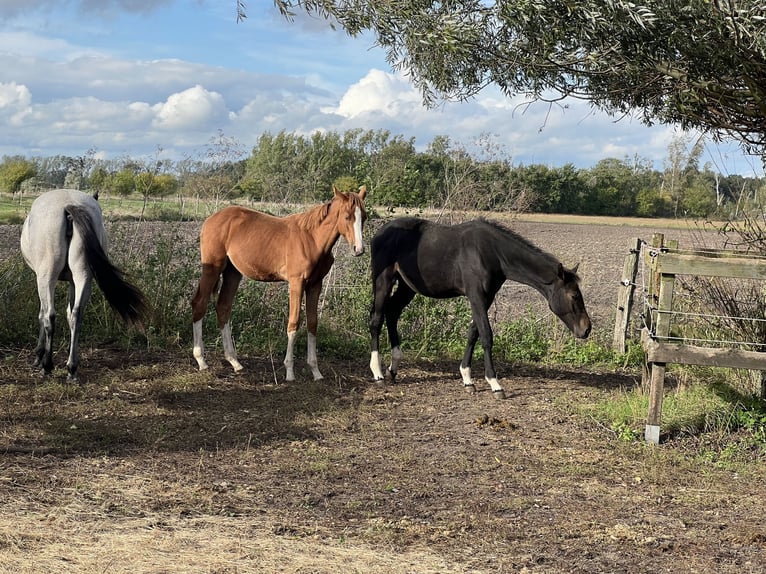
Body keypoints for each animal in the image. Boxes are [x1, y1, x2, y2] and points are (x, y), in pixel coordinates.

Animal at [195, 187, 368, 380]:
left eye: (364, 216)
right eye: (347, 216)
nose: (359, 250)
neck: (312, 239)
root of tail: (210, 219)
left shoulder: (315, 285)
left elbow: (312, 323)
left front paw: (316, 371)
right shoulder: (296, 283)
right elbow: (294, 323)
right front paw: (290, 372)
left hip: (233, 273)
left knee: (223, 307)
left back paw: (235, 362)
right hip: (212, 269)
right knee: (199, 304)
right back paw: (201, 361)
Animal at [368, 217, 592, 400]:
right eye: (574, 295)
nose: (586, 329)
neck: (492, 252)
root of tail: (380, 233)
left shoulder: (486, 297)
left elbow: (473, 333)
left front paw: (467, 379)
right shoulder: (475, 295)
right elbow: (486, 335)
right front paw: (494, 383)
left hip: (408, 287)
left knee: (392, 312)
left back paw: (393, 368)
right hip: (384, 280)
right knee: (376, 319)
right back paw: (378, 373)